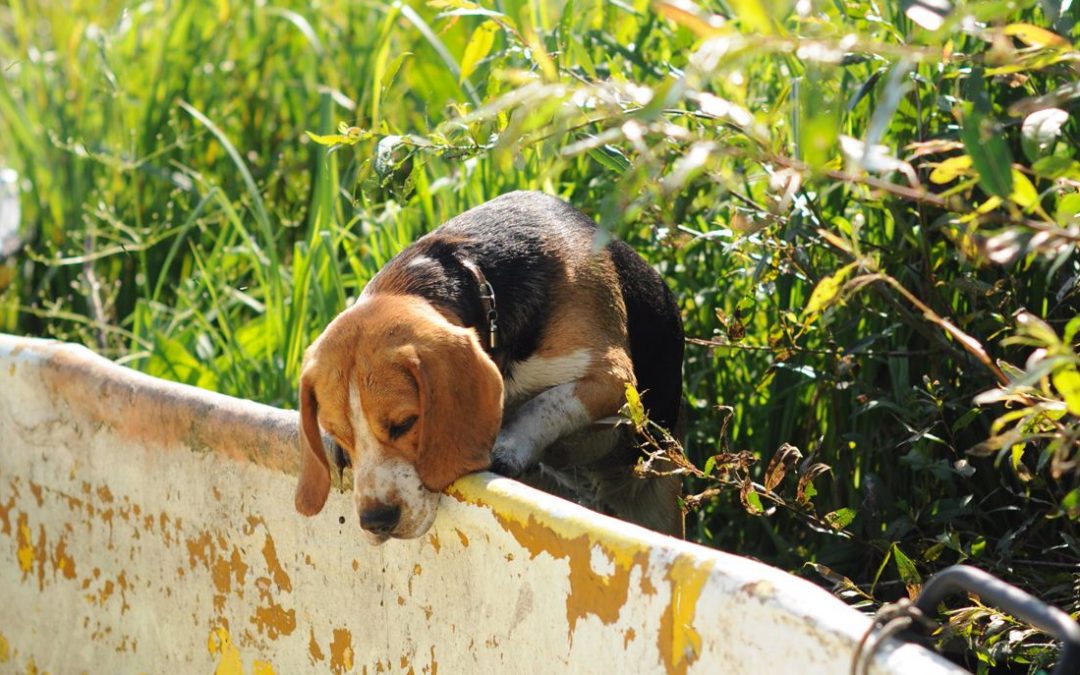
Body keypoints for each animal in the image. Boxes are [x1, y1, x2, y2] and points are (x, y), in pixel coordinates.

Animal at [293, 190, 682, 542]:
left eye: (405, 423)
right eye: (338, 434)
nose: (376, 521)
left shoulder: (613, 377)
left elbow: (546, 402)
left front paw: (508, 446)